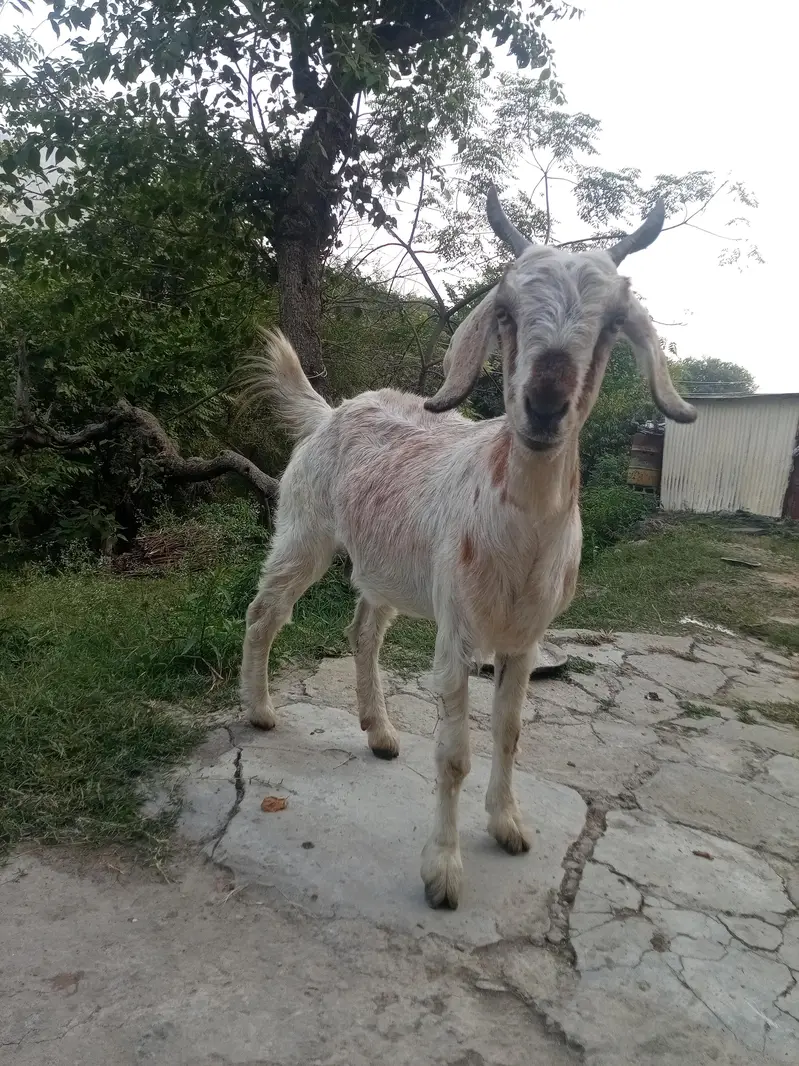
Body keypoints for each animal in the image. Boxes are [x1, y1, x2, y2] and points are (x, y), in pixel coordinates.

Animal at [239, 187, 696, 910]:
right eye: (505, 312)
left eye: (610, 324)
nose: (544, 404)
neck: (522, 537)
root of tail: (329, 412)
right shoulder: (457, 631)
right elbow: (454, 752)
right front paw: (443, 871)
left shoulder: (526, 637)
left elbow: (509, 733)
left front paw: (507, 824)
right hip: (304, 530)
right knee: (266, 611)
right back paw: (259, 710)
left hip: (389, 566)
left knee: (363, 630)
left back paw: (380, 732)